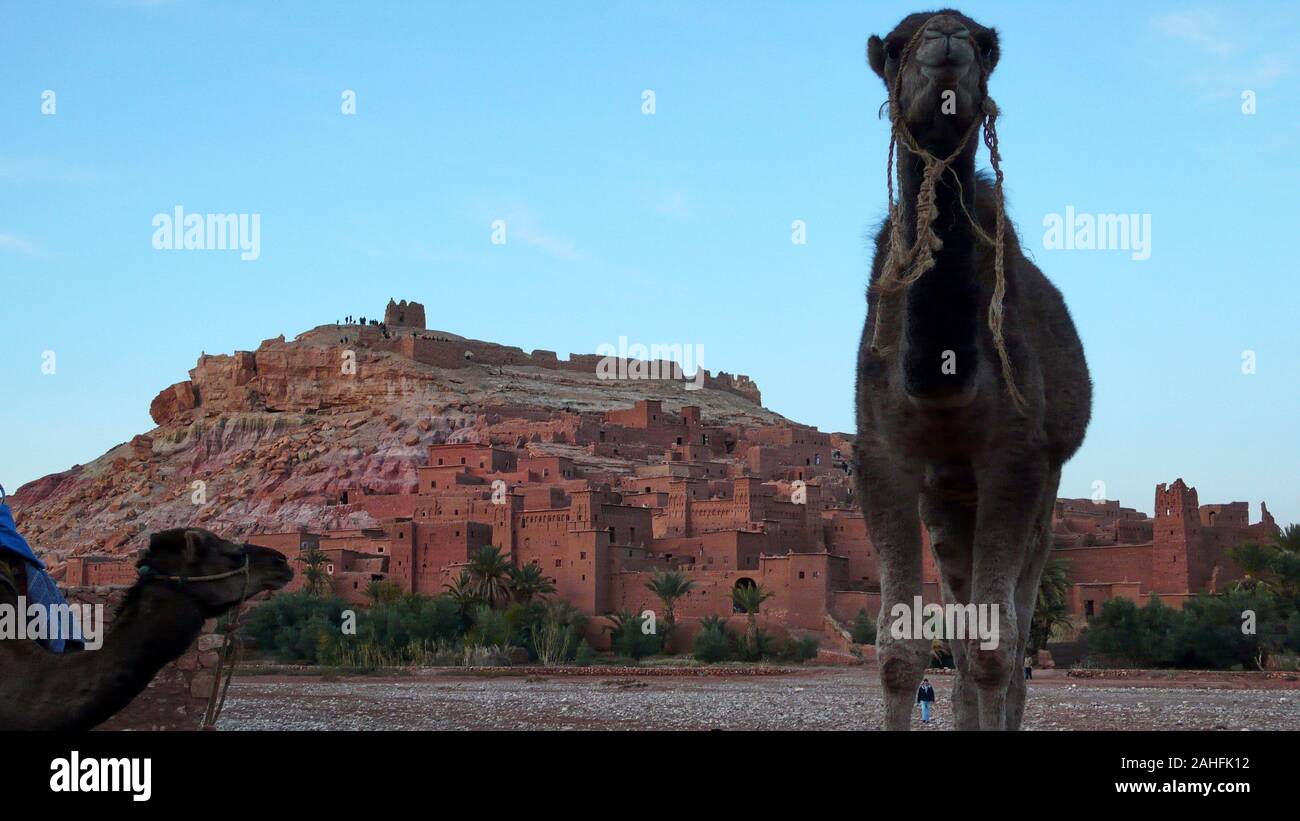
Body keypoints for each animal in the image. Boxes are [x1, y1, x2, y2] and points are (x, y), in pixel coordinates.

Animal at [857, 9, 1092, 732]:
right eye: (893, 47)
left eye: (987, 45)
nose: (946, 40)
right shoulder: (883, 454)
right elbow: (899, 649)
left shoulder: (1017, 456)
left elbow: (998, 645)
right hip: (947, 501)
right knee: (961, 635)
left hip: (1045, 490)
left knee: (1011, 629)